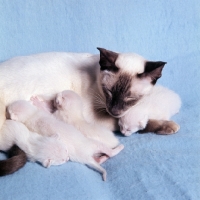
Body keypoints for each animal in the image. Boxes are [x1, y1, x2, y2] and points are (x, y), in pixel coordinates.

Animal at [0, 47, 180, 175]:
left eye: (130, 98)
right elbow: (136, 123)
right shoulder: (100, 117)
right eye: (109, 92)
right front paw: (168, 126)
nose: (114, 110)